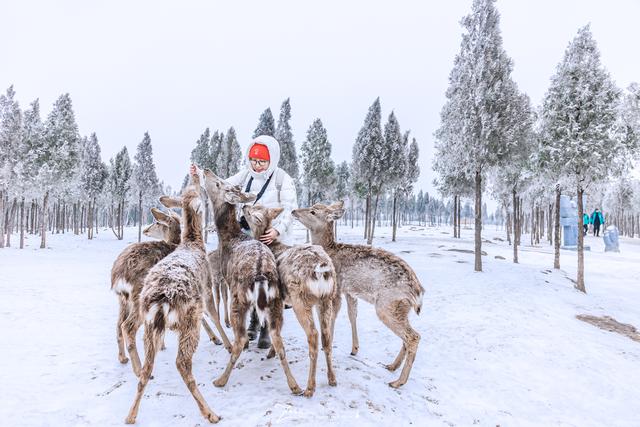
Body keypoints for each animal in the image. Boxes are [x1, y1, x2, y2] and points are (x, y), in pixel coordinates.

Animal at [124, 174, 226, 424]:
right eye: (198, 191)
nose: (197, 174)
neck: (192, 243)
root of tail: (162, 302)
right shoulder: (207, 289)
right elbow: (215, 315)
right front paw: (225, 342)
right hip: (188, 320)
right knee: (182, 363)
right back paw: (210, 413)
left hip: (150, 325)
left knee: (147, 367)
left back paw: (130, 415)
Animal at [200, 169, 302, 396]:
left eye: (219, 183)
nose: (206, 171)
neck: (228, 239)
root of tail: (261, 277)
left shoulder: (227, 282)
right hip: (276, 302)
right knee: (278, 338)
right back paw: (295, 385)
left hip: (239, 299)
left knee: (240, 340)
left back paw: (220, 379)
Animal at [241, 204, 340, 398]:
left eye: (253, 212)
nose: (245, 205)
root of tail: (322, 269)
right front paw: (270, 352)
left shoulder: (279, 299)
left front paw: (270, 352)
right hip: (326, 299)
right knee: (327, 336)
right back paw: (332, 379)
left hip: (300, 299)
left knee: (313, 335)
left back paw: (309, 388)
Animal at [292, 202, 424, 390]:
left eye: (313, 211)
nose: (293, 211)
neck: (329, 249)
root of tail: (418, 291)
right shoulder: (350, 291)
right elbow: (352, 314)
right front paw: (354, 348)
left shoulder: (336, 289)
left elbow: (333, 317)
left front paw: (329, 344)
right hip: (402, 308)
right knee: (408, 336)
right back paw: (392, 366)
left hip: (386, 305)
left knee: (413, 336)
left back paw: (398, 381)